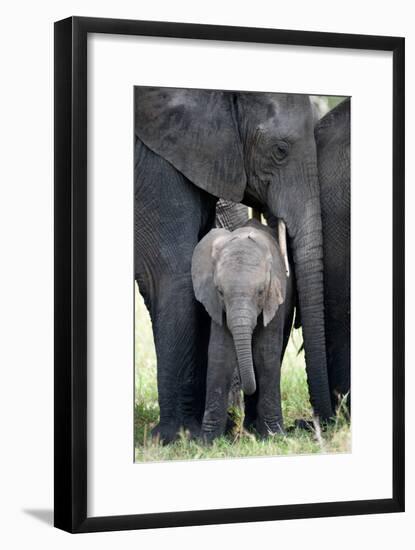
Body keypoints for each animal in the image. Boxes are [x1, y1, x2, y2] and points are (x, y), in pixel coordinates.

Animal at [193, 220, 296, 444]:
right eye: (220, 292)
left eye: (260, 292)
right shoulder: (217, 306)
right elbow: (220, 354)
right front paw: (206, 442)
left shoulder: (275, 298)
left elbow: (266, 355)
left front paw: (275, 436)